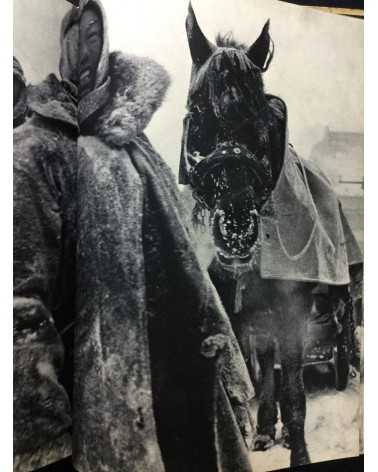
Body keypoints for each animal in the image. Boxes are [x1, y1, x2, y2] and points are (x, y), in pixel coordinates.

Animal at [179, 3, 354, 468]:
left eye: (265, 119)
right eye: (195, 113)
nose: (237, 229)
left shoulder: (291, 308)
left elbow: (294, 389)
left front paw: (298, 450)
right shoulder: (232, 314)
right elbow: (245, 385)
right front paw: (250, 432)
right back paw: (263, 430)